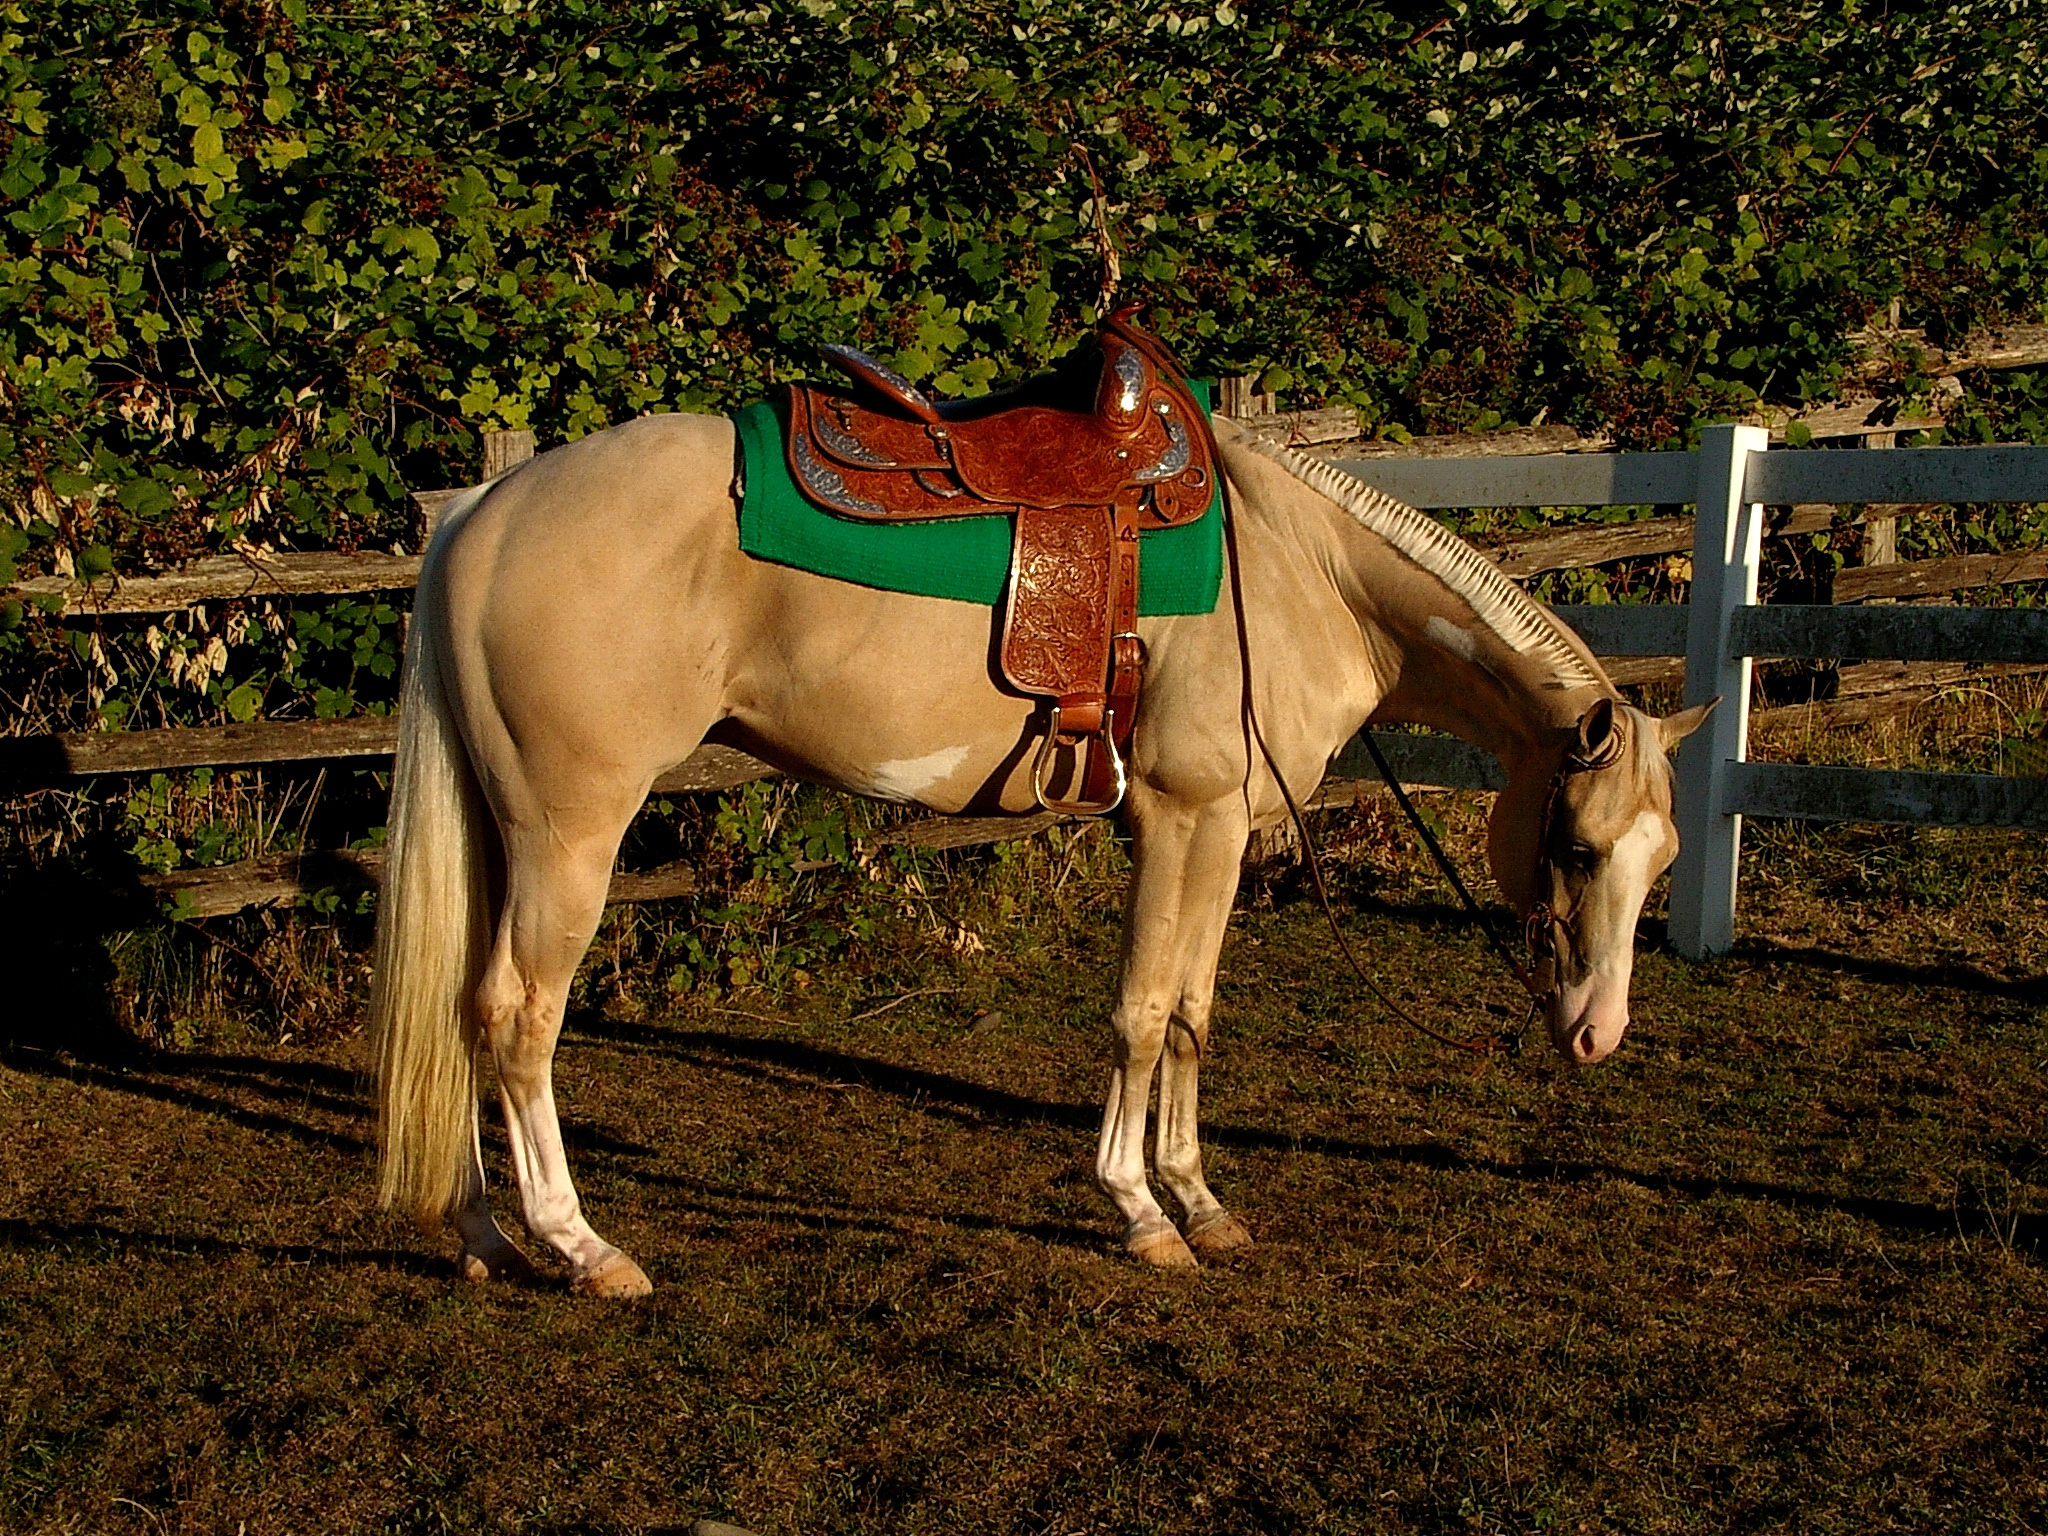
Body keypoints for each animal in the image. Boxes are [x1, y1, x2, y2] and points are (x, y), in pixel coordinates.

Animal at [370, 410, 1712, 1296]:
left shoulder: (1220, 831)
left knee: (464, 1009)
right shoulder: (1182, 816)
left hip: (505, 833)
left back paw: (483, 1235)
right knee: (521, 1017)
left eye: (1661, 862)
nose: (1597, 1034)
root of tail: (482, 517)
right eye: (1578, 846)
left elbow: (1192, 1015)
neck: (1304, 575)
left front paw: (1200, 1202)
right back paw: (580, 1246)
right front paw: (1138, 1211)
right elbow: (1142, 1011)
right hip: (570, 834)